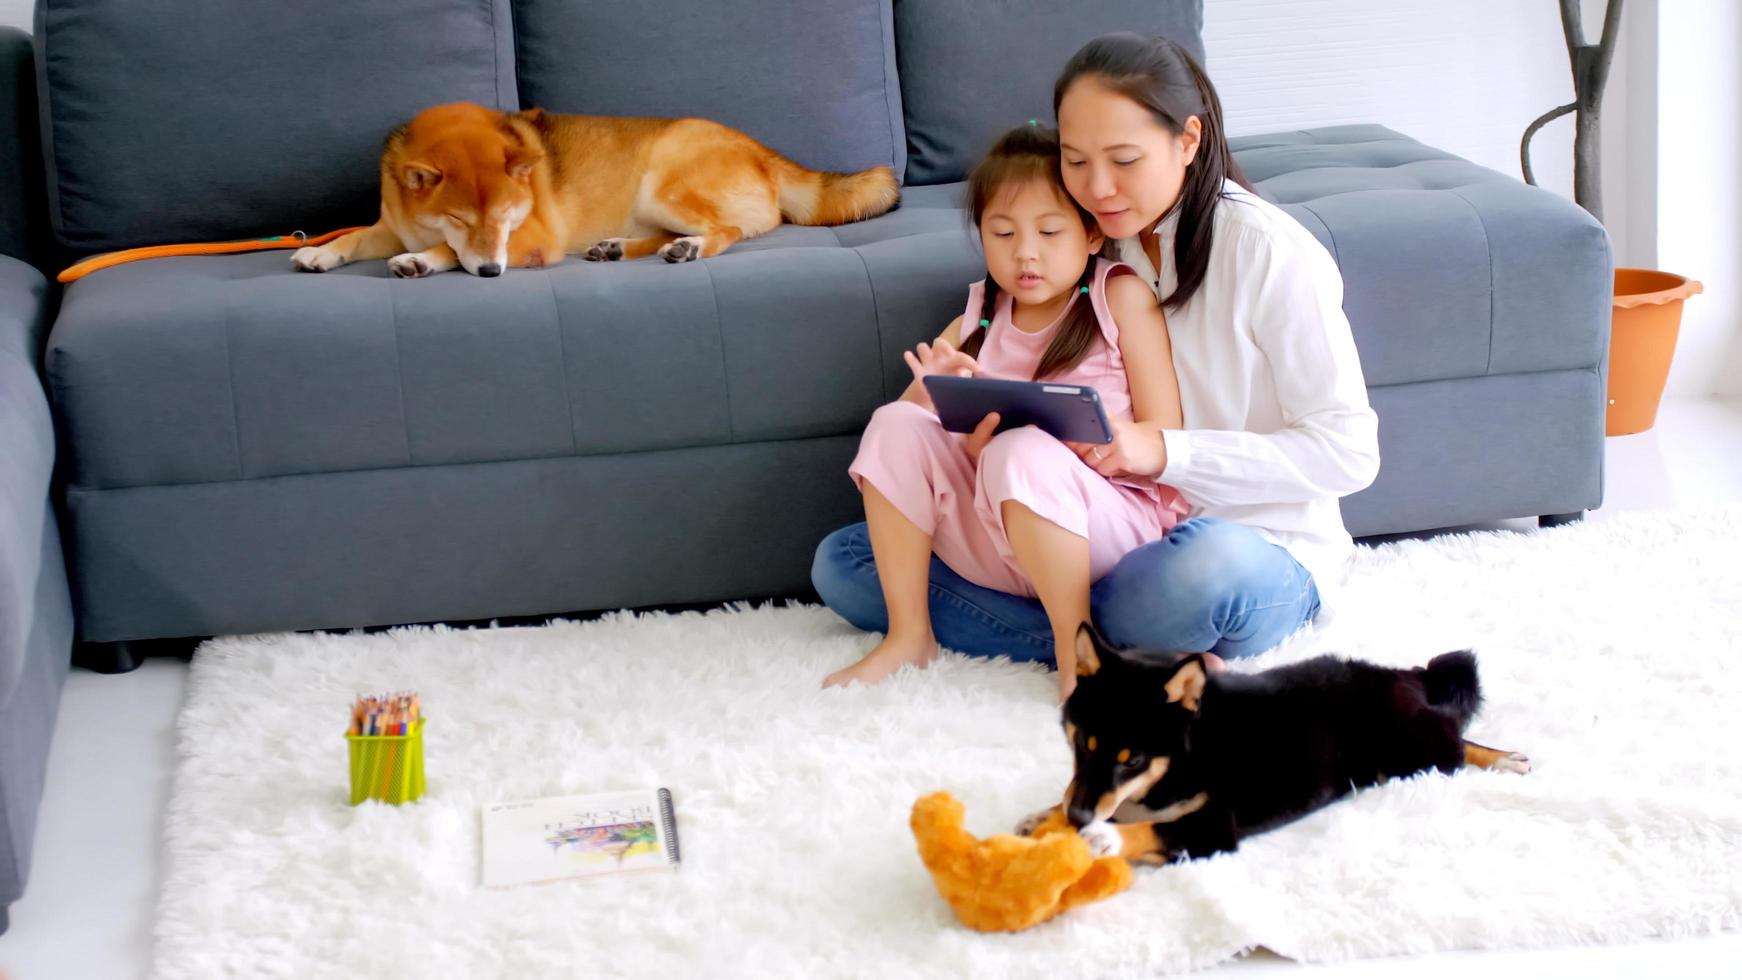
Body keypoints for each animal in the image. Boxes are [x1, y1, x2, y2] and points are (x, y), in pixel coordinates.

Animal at [292, 102, 898, 278]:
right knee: (663, 236)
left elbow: (441, 251)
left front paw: (421, 260)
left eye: (505, 215)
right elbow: (355, 237)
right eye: (462, 216)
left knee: (724, 230)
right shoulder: (390, 225)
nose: (491, 273)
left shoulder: (532, 238)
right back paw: (618, 248)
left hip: (661, 180)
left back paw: (689, 248)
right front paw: (321, 252)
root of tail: (764, 153)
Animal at [1017, 626, 1532, 863]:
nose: (1077, 817)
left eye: (1134, 759)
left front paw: (1104, 837)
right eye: (1081, 743)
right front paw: (1045, 816)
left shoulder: (1215, 829)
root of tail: (1406, 675)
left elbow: (1153, 829)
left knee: (1457, 745)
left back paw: (1505, 759)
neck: (1187, 752)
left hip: (1415, 752)